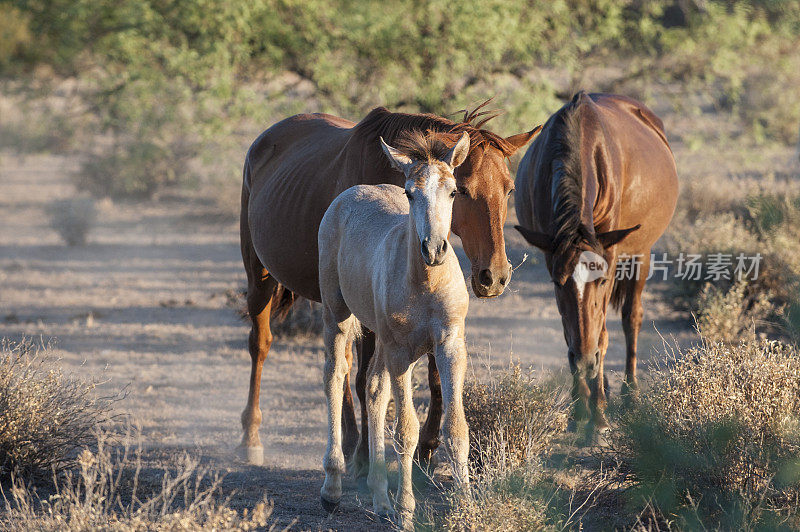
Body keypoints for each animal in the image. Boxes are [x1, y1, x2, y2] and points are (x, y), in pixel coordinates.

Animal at [238, 103, 536, 466]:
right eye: (464, 190)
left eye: (509, 189)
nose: (494, 276)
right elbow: (367, 380)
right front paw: (368, 458)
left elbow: (435, 378)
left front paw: (426, 449)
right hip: (260, 276)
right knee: (261, 344)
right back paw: (252, 437)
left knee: (340, 363)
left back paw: (350, 439)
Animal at [318, 130, 472, 528]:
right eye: (410, 193)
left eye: (454, 191)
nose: (434, 249)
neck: (426, 283)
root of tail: (349, 194)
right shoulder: (402, 352)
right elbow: (406, 431)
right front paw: (406, 512)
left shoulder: (450, 344)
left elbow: (456, 428)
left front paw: (466, 507)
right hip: (338, 315)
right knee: (335, 376)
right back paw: (333, 487)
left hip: (382, 339)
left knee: (373, 389)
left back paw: (379, 498)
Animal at [516, 91, 680, 432]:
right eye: (557, 283)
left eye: (602, 280)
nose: (584, 360)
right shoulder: (552, 255)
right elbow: (573, 332)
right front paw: (580, 410)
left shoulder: (612, 255)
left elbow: (604, 333)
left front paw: (600, 414)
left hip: (641, 253)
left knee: (631, 318)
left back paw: (629, 393)